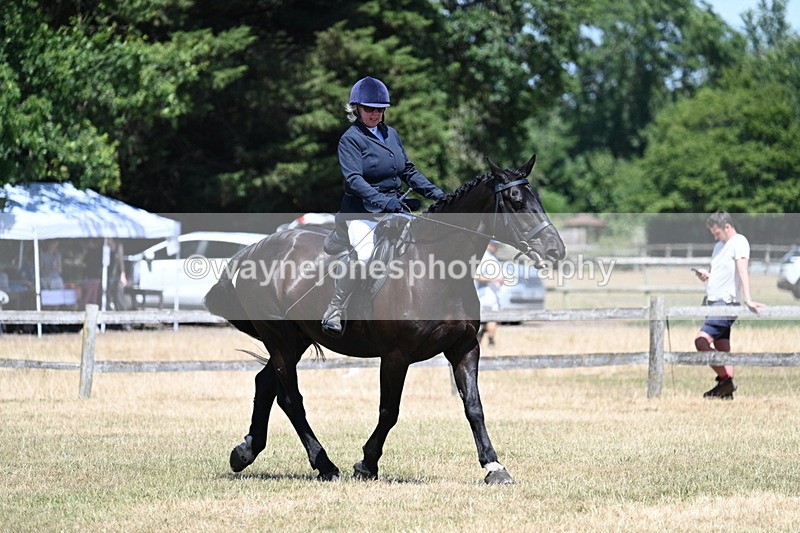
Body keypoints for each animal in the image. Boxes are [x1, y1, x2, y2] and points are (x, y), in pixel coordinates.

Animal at [204, 154, 566, 484]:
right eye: (515, 202)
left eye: (537, 199)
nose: (555, 251)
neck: (435, 268)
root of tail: (253, 251)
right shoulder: (395, 355)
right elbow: (389, 411)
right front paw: (367, 464)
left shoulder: (464, 348)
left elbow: (474, 407)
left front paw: (494, 467)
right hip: (279, 337)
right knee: (291, 398)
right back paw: (325, 465)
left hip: (296, 339)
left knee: (265, 383)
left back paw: (244, 453)